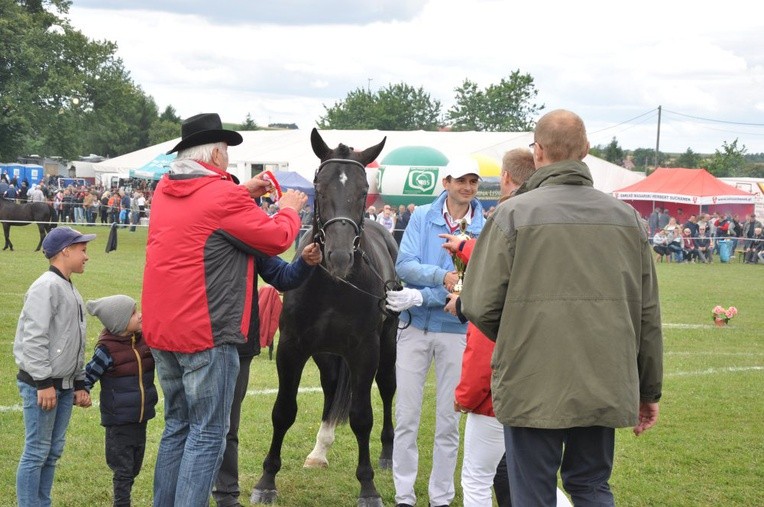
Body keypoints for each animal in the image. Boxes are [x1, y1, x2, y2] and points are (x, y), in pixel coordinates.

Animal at [252, 131, 400, 507]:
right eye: (318, 188)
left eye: (364, 190)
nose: (338, 256)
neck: (335, 285)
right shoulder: (293, 348)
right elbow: (283, 411)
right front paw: (266, 481)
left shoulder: (365, 351)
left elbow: (362, 417)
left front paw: (368, 487)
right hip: (325, 353)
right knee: (332, 388)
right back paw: (320, 450)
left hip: (387, 347)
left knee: (388, 388)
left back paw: (388, 454)